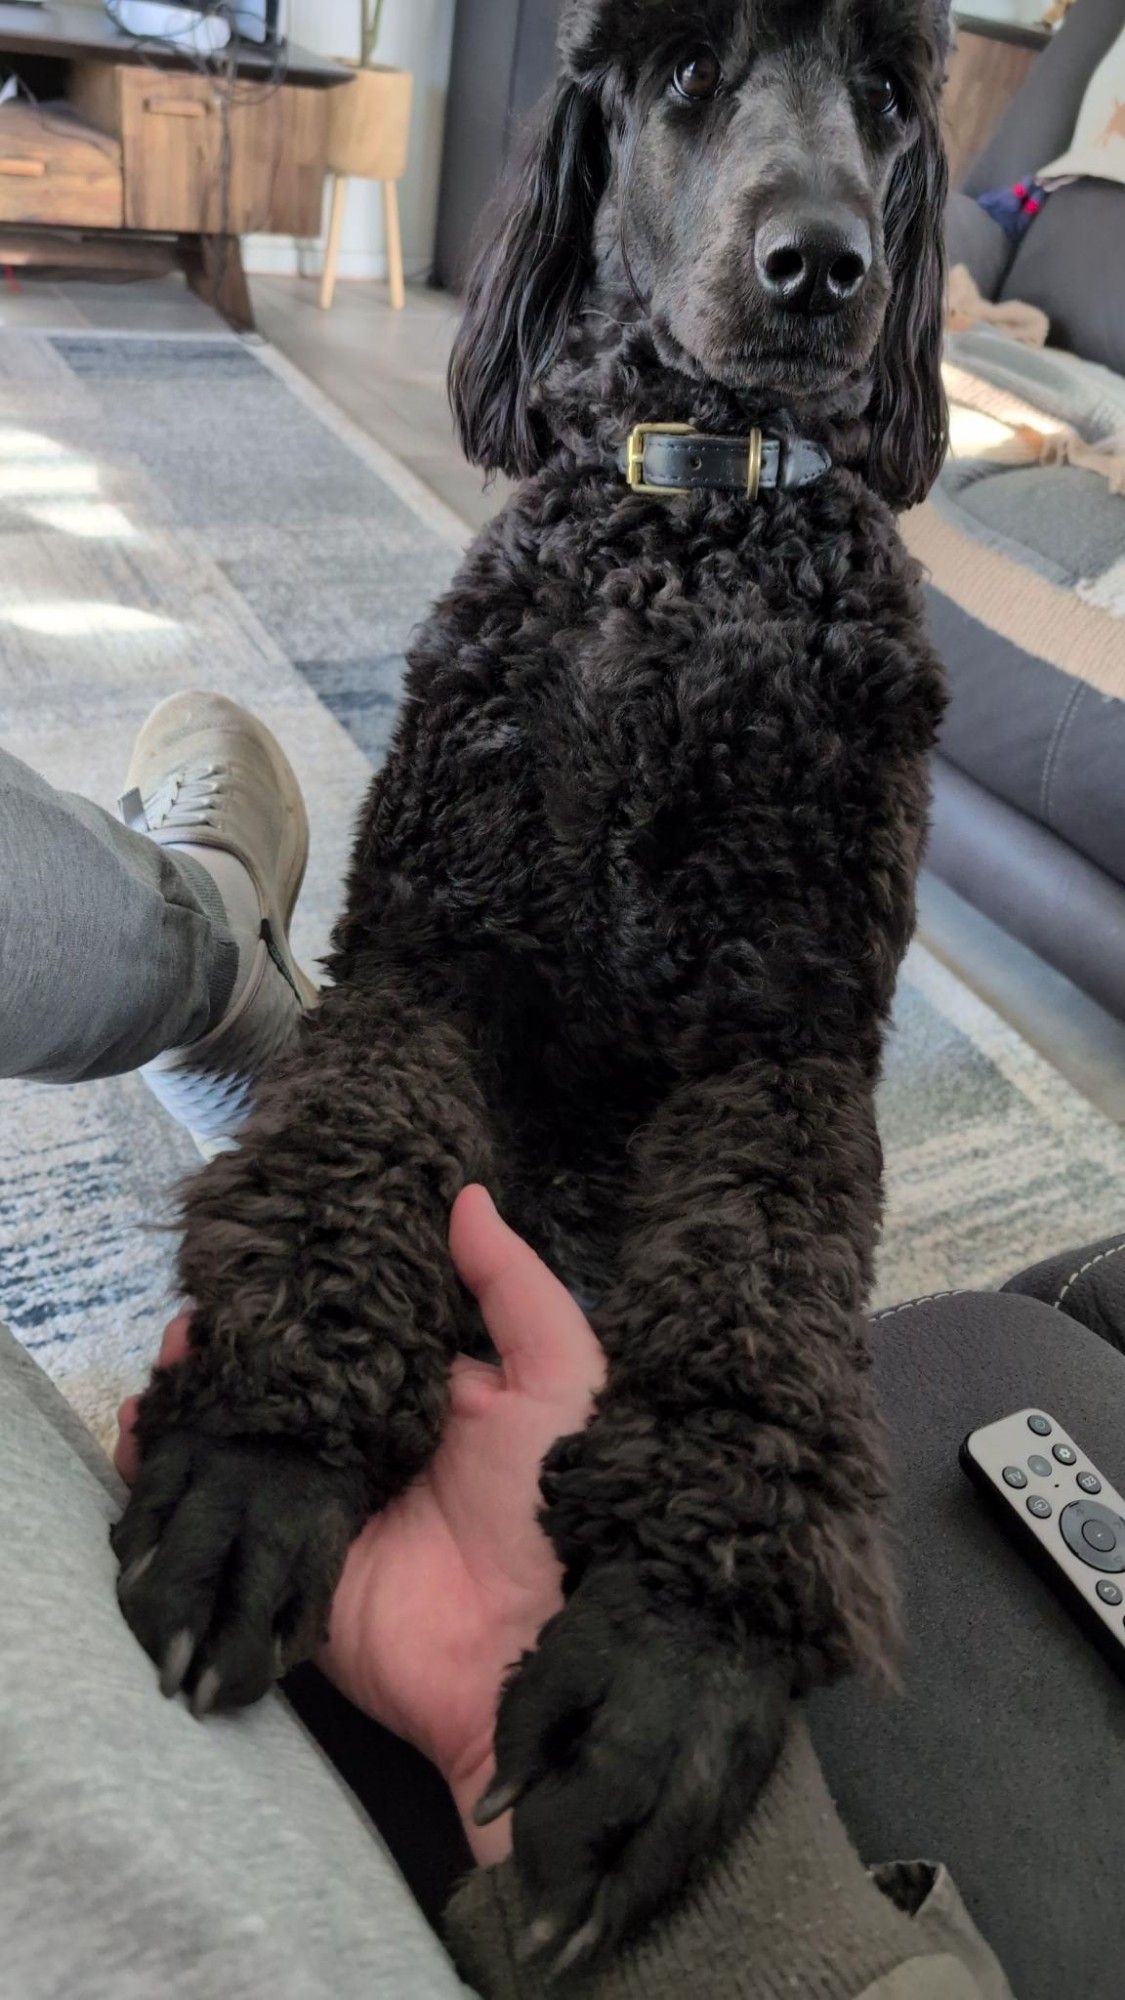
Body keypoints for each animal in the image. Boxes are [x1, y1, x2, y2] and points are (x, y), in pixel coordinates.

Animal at [116, 0, 944, 1968]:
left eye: (890, 94)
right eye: (685, 74)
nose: (824, 266)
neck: (696, 547)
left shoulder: (783, 1057)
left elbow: (760, 1322)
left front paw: (672, 1660)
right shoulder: (435, 956)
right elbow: (341, 1171)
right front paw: (269, 1454)